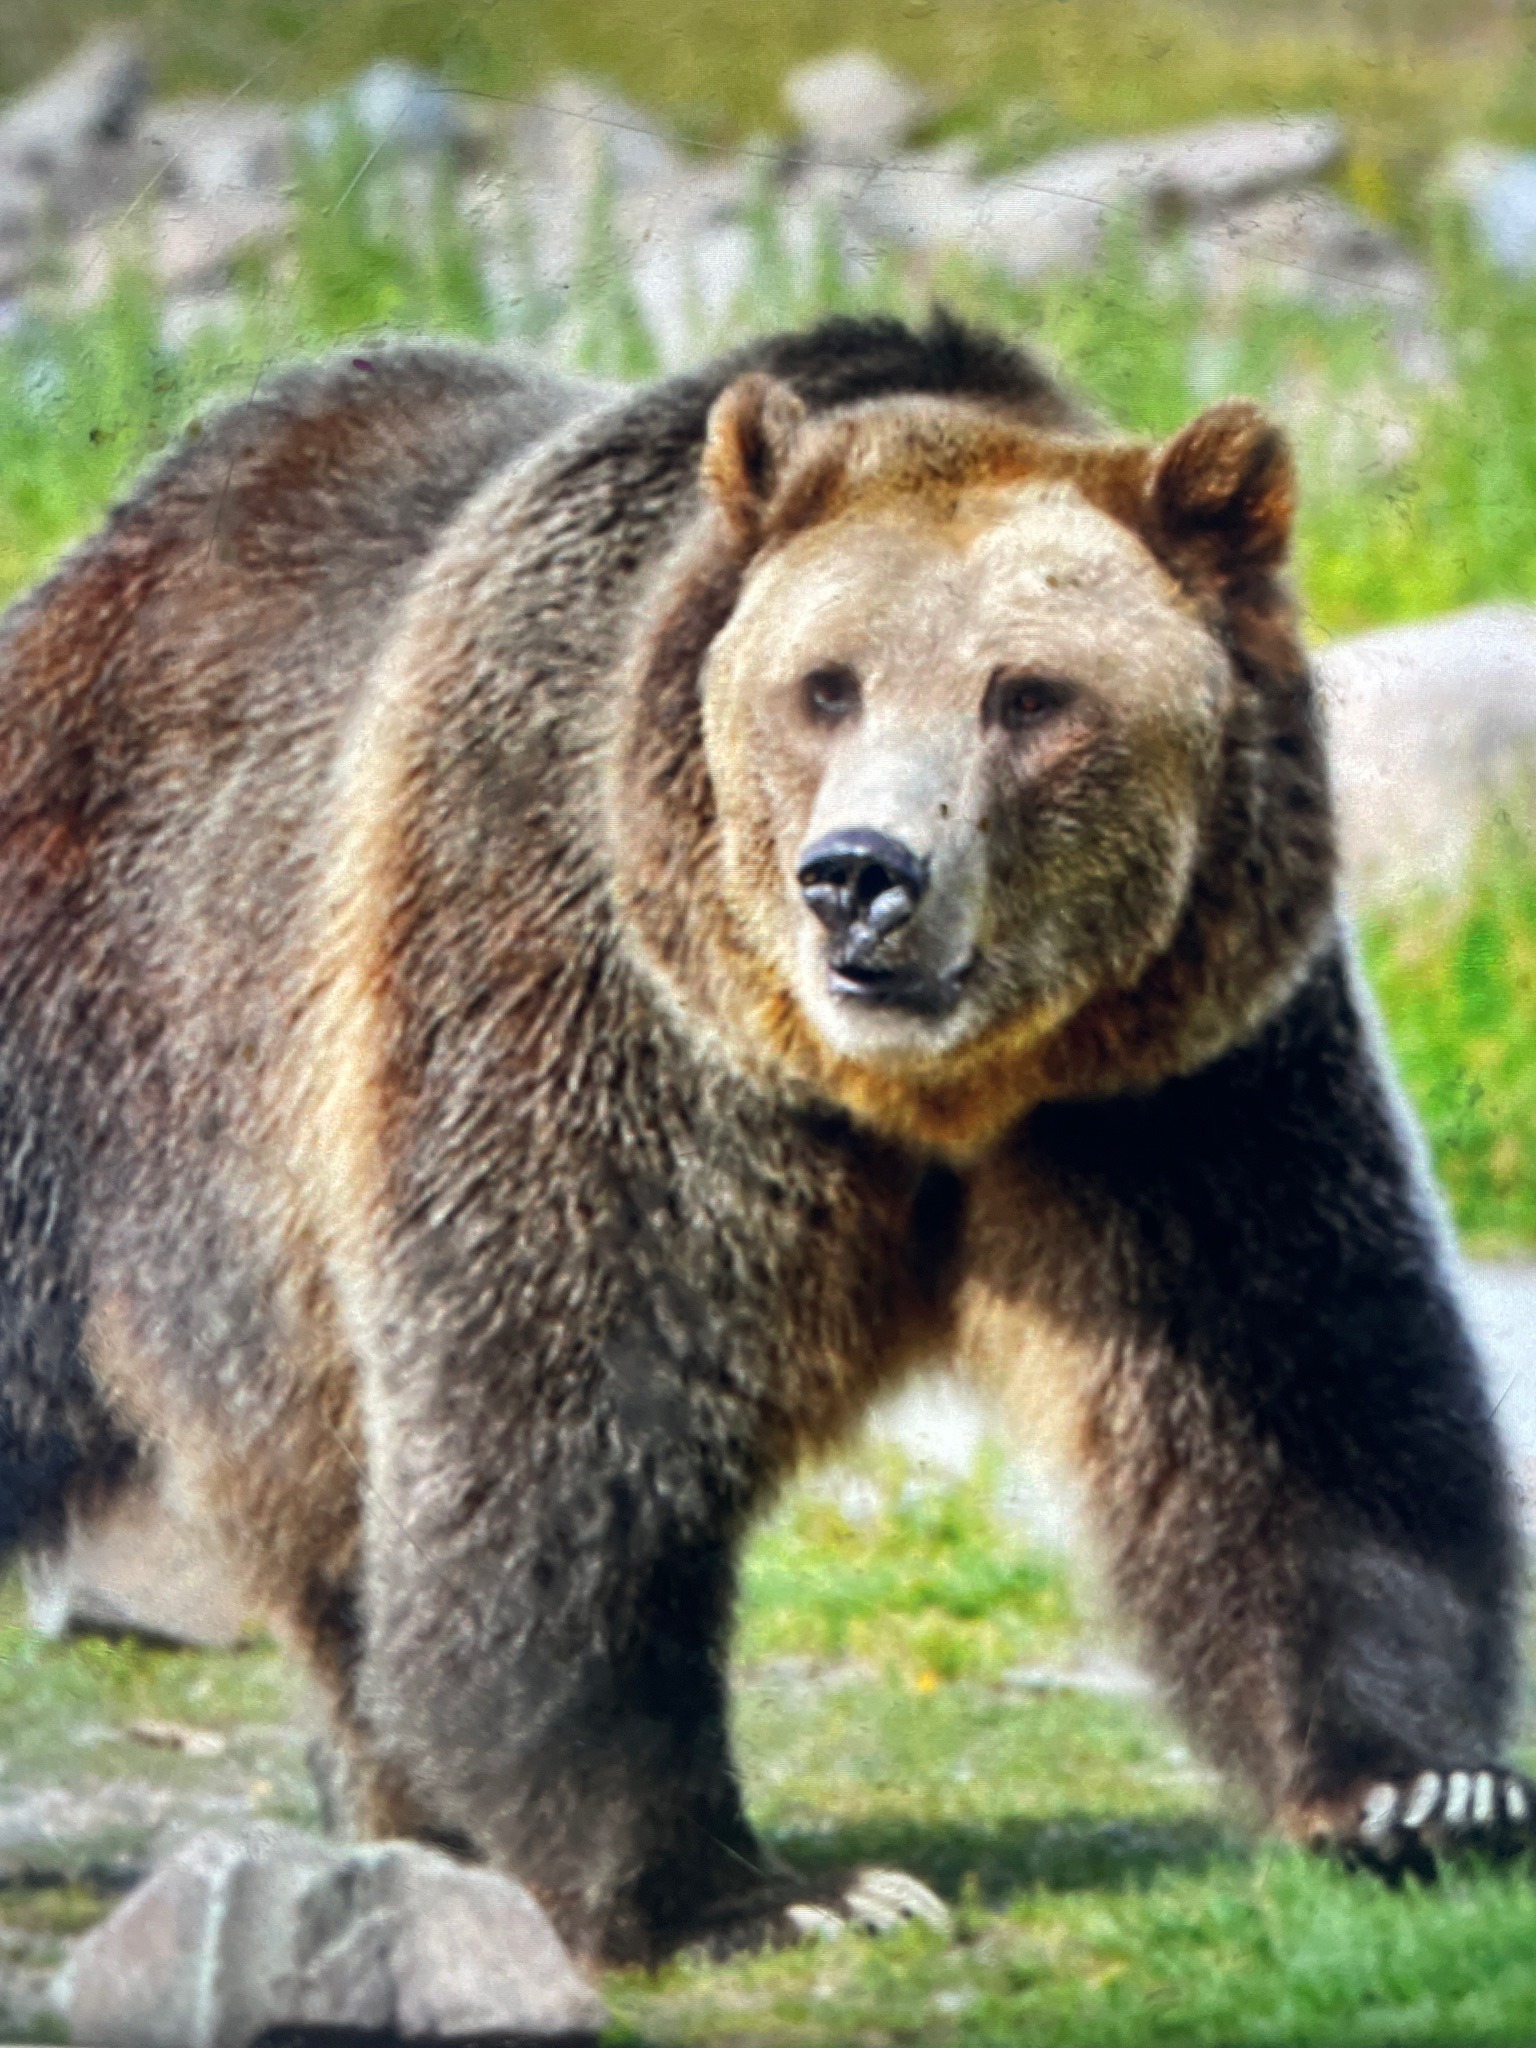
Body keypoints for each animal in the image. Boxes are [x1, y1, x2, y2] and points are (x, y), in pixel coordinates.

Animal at [0, 311, 1528, 1968]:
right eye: (826, 686)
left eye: (1029, 694)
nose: (862, 875)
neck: (919, 1090)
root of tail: (107, 552)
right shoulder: (601, 988)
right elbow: (570, 1412)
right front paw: (751, 1890)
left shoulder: (1172, 1070)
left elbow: (1291, 1382)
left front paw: (1419, 1789)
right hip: (110, 998)